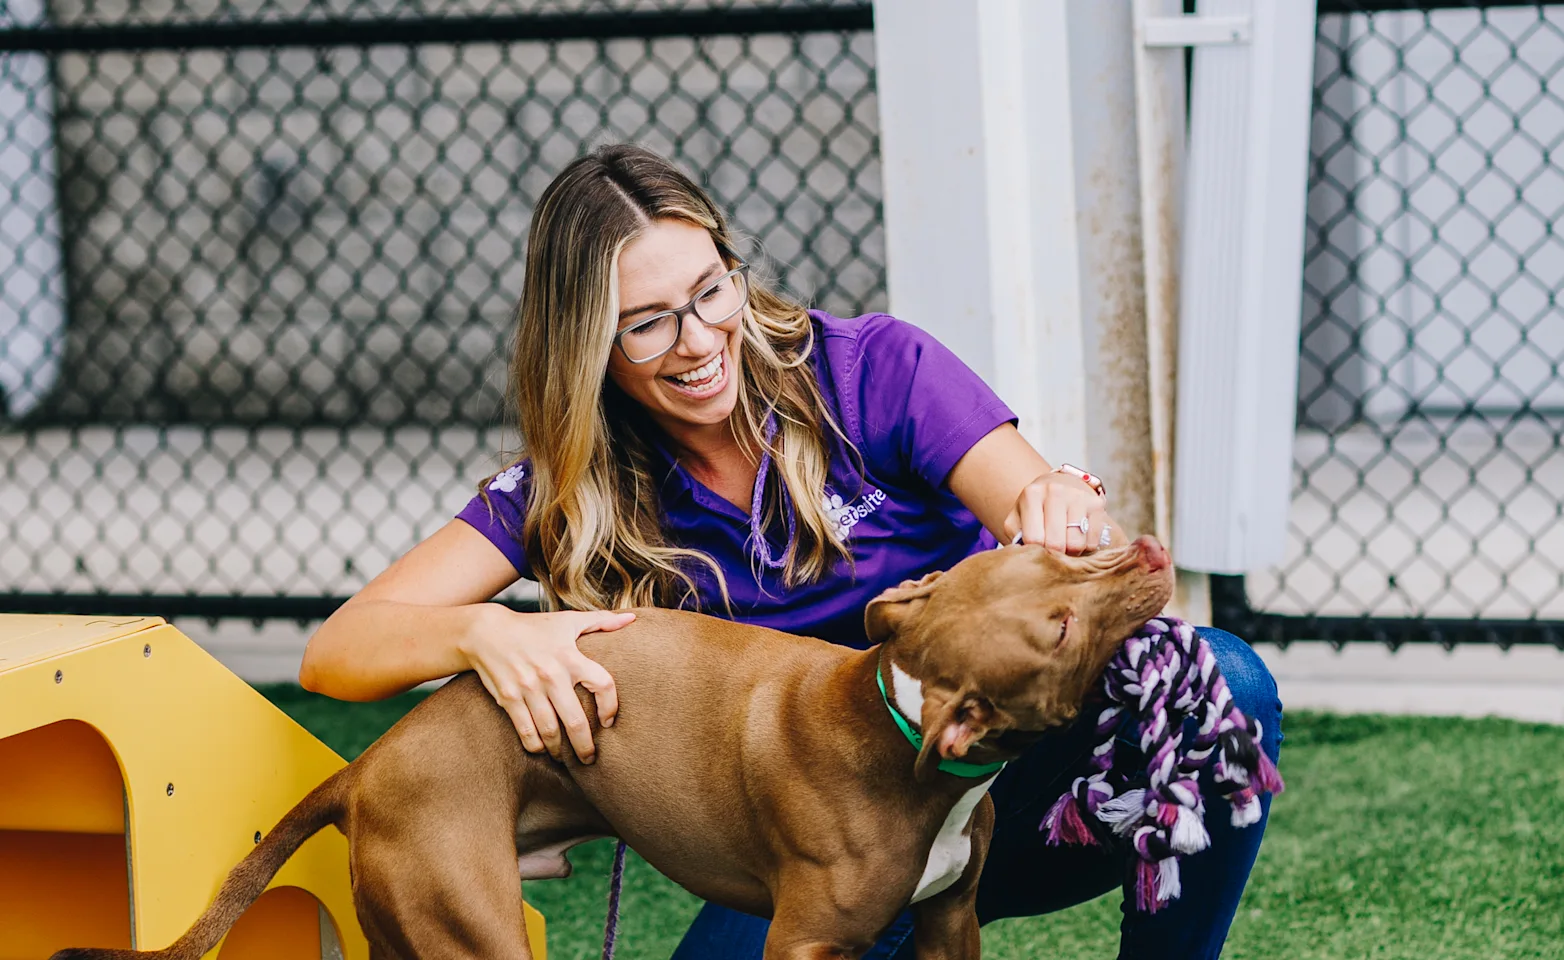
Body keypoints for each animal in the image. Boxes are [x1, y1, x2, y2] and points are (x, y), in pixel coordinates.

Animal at [52, 540, 1176, 960]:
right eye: (1060, 628)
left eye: (1042, 546)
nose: (1147, 548)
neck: (898, 722)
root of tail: (366, 765)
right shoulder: (804, 942)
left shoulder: (948, 922)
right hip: (474, 929)